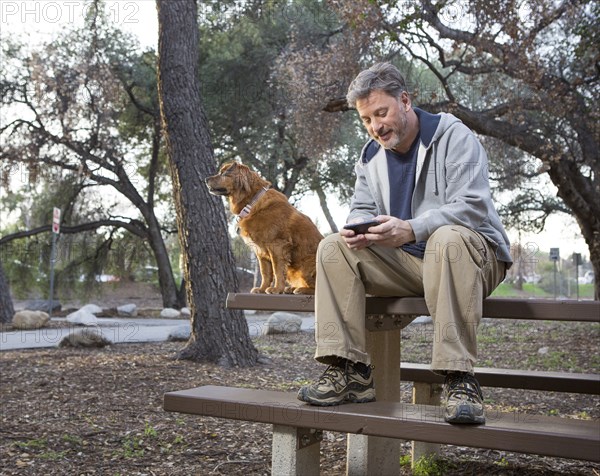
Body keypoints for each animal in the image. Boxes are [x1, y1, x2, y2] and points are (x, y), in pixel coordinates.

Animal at [206, 163, 324, 294]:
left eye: (223, 173)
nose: (205, 179)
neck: (252, 202)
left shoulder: (277, 246)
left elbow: (278, 271)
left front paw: (276, 289)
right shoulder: (260, 250)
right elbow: (265, 273)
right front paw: (262, 288)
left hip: (306, 265)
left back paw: (300, 289)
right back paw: (291, 288)